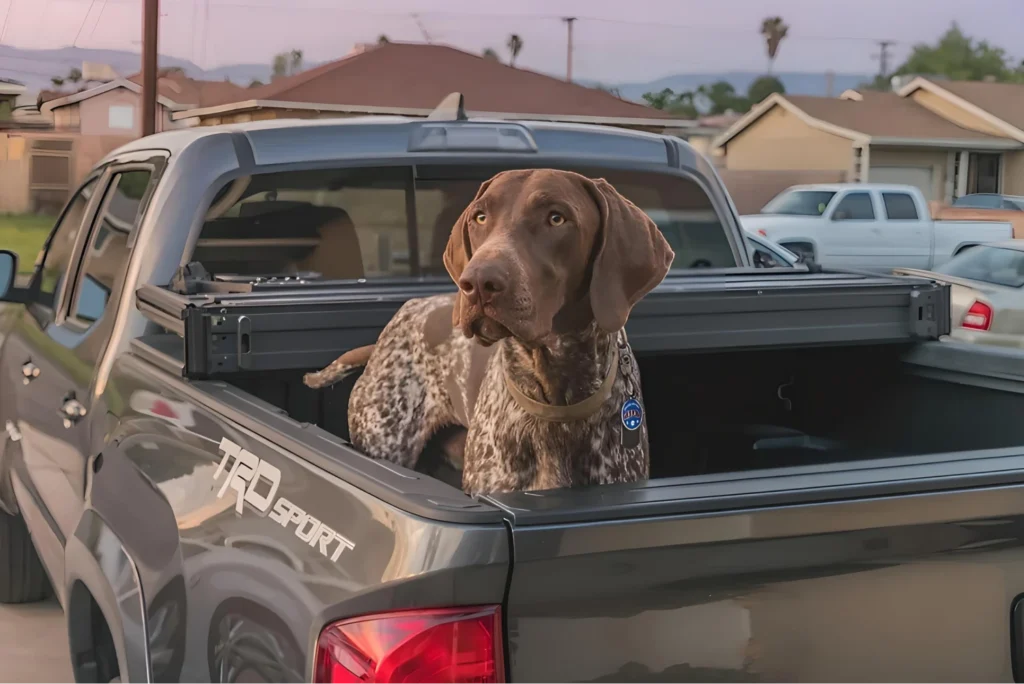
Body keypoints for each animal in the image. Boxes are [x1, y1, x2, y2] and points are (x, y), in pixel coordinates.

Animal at [303, 167, 671, 493]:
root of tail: (399, 317)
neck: (555, 397)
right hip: (384, 440)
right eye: (480, 218)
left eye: (556, 218)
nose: (478, 282)